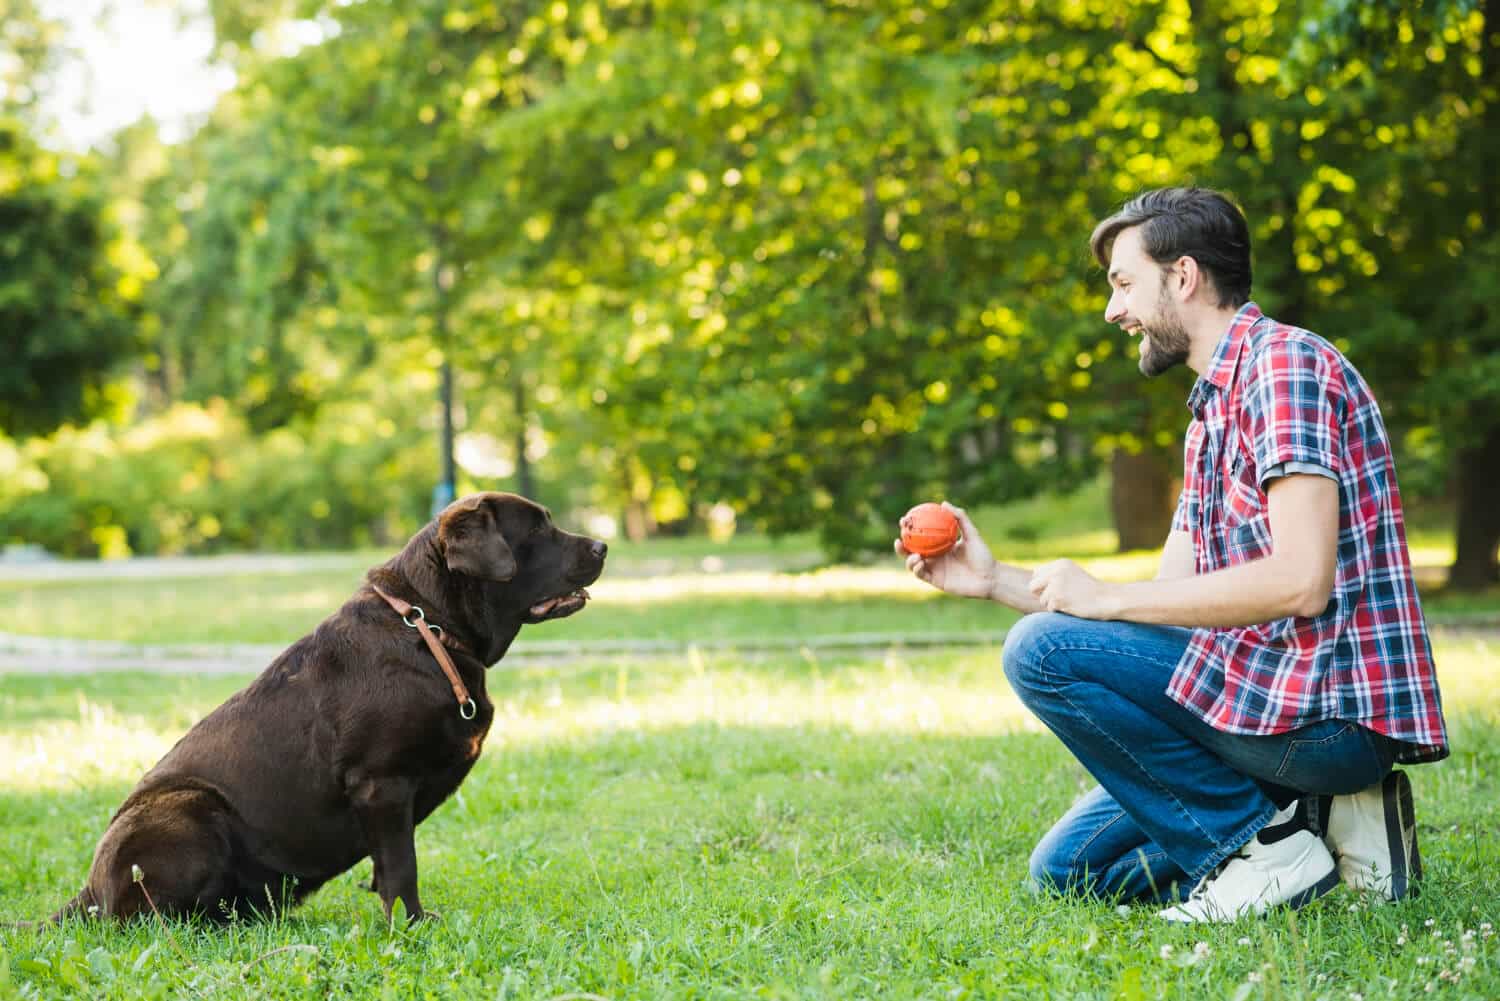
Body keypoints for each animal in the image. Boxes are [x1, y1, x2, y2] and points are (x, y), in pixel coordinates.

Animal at [49, 492, 606, 924]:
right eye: (537, 528)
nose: (603, 545)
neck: (429, 627)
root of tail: (89, 892)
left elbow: (386, 866)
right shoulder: (382, 782)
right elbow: (401, 866)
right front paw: (411, 925)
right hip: (188, 809)